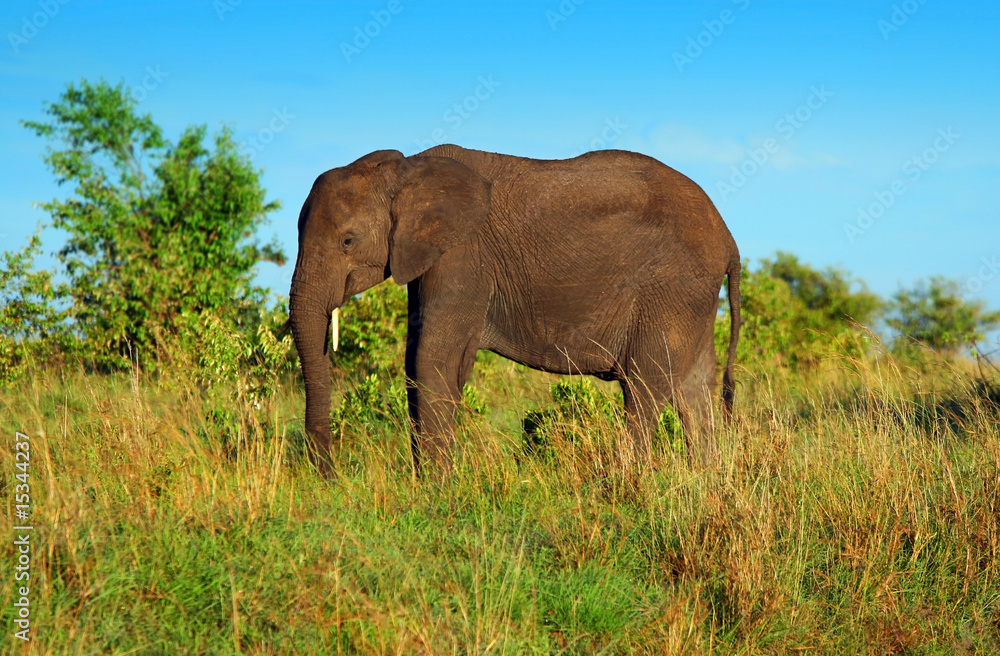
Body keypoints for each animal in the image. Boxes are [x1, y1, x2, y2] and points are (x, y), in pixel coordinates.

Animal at [288, 144, 741, 475]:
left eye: (347, 241)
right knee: (694, 390)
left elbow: (432, 357)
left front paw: (434, 491)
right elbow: (421, 357)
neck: (408, 170)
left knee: (644, 388)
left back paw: (629, 478)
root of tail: (729, 238)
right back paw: (707, 480)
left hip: (673, 286)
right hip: (690, 297)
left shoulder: (463, 255)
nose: (331, 476)